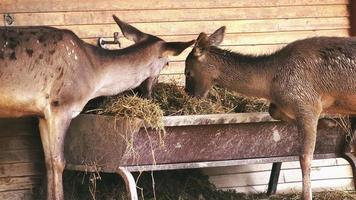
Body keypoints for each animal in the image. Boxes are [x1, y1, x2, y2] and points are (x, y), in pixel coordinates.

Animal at [0, 16, 195, 200]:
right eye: (167, 64)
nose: (150, 94)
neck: (94, 77)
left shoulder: (42, 115)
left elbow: (47, 161)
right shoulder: (61, 105)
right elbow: (58, 162)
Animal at [184, 27, 356, 200]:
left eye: (187, 72)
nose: (190, 94)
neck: (270, 85)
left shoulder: (307, 103)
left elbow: (305, 157)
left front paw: (307, 195)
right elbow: (272, 110)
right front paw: (327, 123)